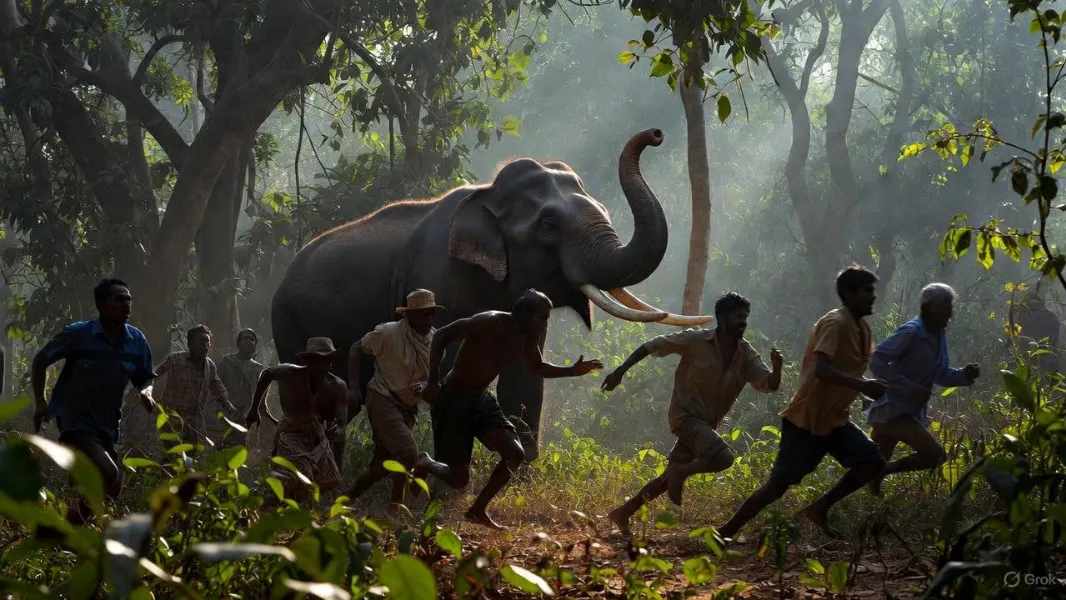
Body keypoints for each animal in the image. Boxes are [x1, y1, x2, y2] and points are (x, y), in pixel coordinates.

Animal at [270, 128, 711, 468]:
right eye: (548, 225)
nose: (655, 134)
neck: (485, 196)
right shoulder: (438, 280)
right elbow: (450, 367)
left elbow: (526, 375)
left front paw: (523, 470)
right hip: (291, 325)